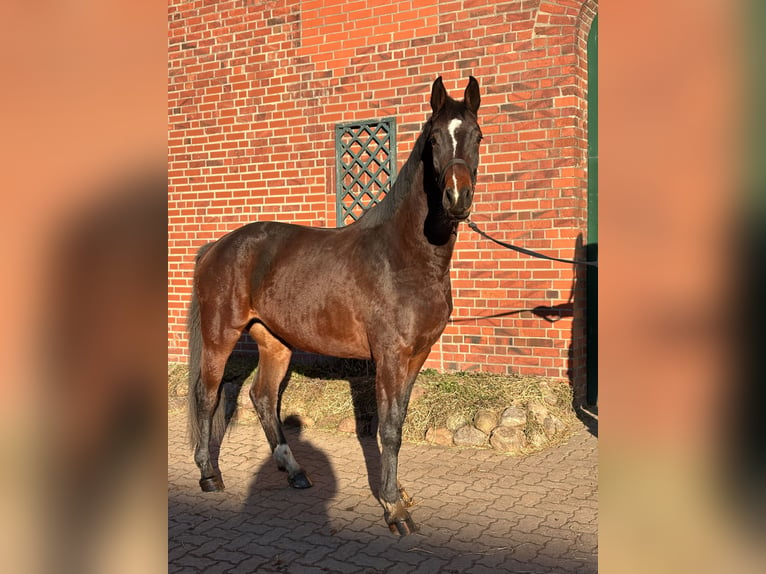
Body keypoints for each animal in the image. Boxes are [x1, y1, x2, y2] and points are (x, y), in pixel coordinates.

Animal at [189, 75, 484, 536]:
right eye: (434, 139)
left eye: (477, 135)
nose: (458, 198)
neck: (404, 255)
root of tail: (215, 248)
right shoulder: (390, 356)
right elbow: (389, 428)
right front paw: (394, 509)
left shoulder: (417, 355)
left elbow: (399, 420)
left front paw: (398, 495)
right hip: (221, 334)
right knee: (208, 394)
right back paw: (209, 474)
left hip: (274, 341)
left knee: (262, 397)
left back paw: (295, 472)